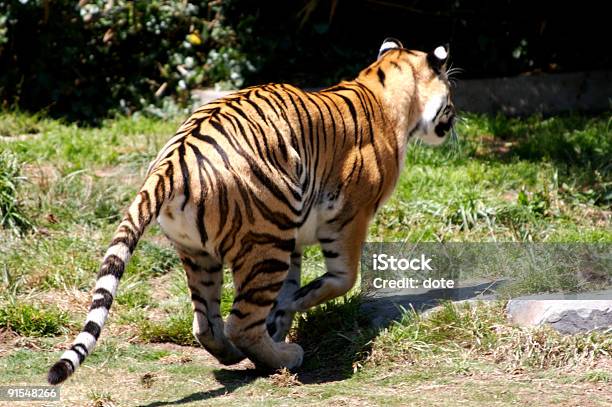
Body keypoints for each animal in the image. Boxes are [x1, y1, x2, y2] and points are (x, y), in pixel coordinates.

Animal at [46, 38, 454, 386]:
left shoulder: (296, 237)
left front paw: (282, 317)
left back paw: (236, 353)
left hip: (203, 253)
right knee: (240, 322)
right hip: (266, 242)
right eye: (451, 93)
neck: (383, 87)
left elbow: (290, 289)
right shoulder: (349, 217)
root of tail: (171, 163)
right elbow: (343, 278)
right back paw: (285, 357)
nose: (453, 122)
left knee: (208, 324)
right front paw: (294, 308)